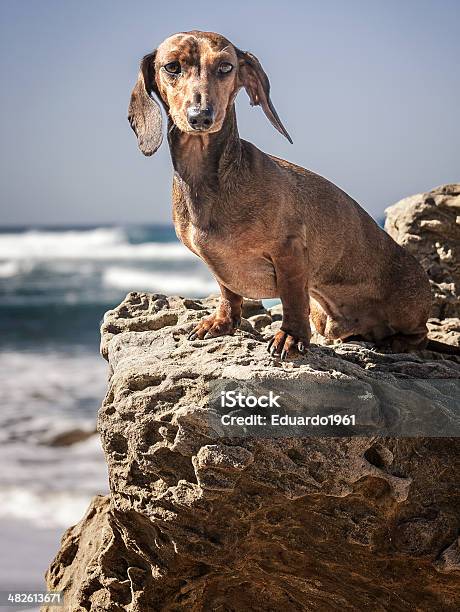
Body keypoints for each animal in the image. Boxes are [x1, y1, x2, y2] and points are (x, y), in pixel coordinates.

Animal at [129, 29, 446, 358]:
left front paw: (291, 336)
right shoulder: (218, 266)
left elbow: (292, 299)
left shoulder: (289, 252)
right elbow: (229, 293)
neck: (210, 178)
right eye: (172, 67)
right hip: (324, 318)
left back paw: (397, 342)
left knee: (419, 335)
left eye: (226, 67)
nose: (201, 116)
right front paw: (221, 323)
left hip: (407, 308)